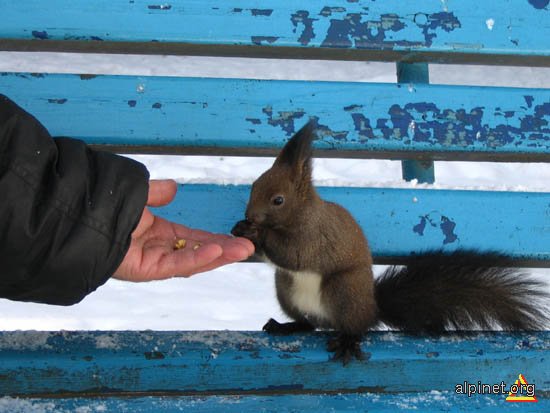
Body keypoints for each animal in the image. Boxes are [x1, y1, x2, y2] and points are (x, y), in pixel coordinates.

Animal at [233, 120, 550, 362]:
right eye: (254, 185)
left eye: (278, 200)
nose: (249, 215)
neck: (299, 215)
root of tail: (372, 308)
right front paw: (241, 228)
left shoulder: (315, 236)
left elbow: (294, 254)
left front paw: (257, 234)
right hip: (286, 289)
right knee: (308, 324)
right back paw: (286, 326)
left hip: (343, 290)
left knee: (355, 327)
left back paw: (347, 341)